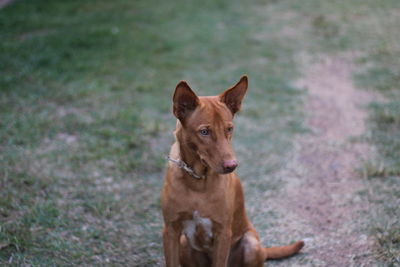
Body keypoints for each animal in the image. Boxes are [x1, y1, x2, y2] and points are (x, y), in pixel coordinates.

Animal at [161, 76, 304, 266]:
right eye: (204, 132)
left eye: (229, 129)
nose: (232, 166)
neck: (198, 181)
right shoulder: (170, 230)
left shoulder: (223, 232)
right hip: (184, 244)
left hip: (251, 245)